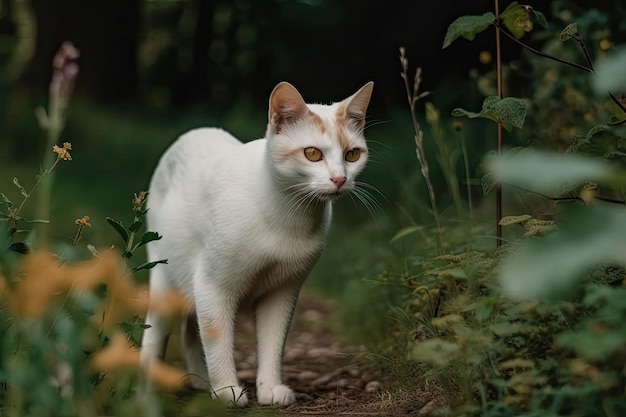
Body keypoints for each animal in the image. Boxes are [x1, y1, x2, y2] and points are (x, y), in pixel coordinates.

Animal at [140, 79, 370, 404]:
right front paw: (227, 390)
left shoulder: (282, 292)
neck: (288, 216)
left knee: (190, 329)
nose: (340, 179)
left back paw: (200, 381)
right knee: (156, 333)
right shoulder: (212, 286)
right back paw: (145, 390)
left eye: (352, 155)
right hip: (164, 278)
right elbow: (217, 339)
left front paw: (269, 388)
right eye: (312, 154)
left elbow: (273, 344)